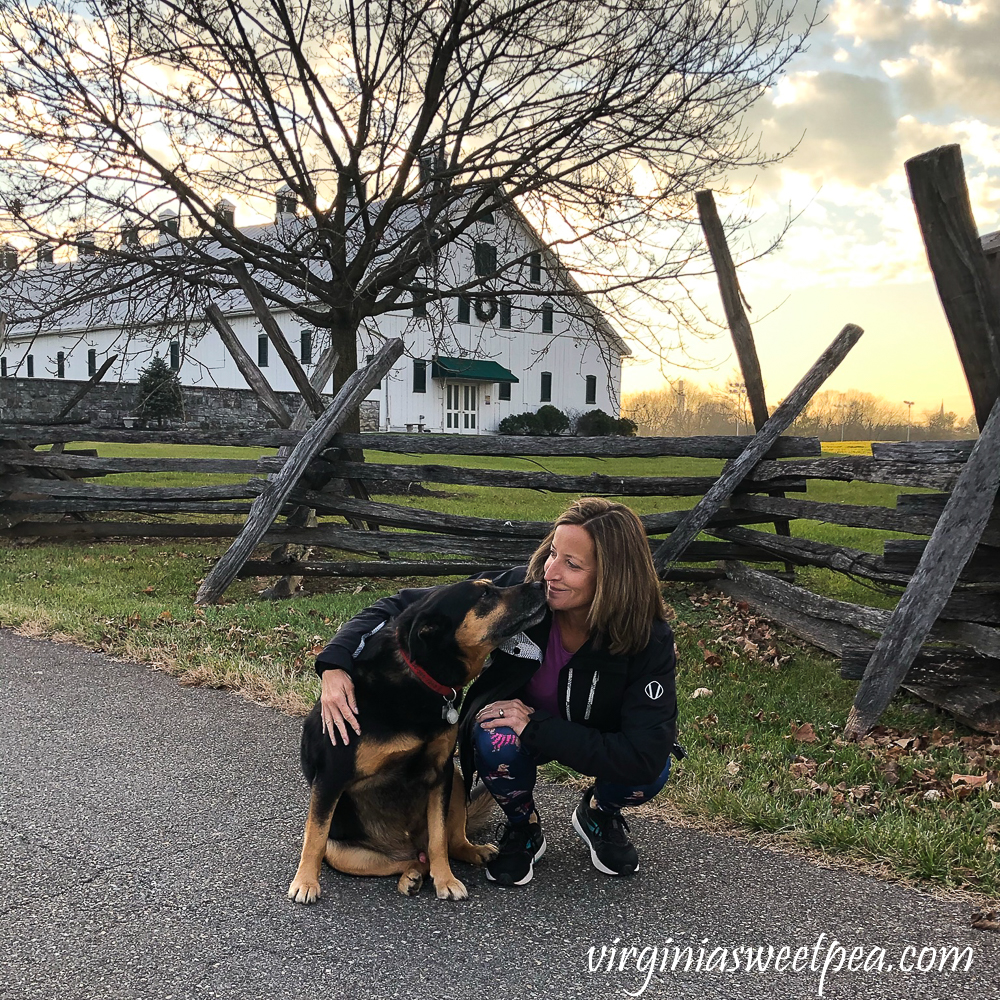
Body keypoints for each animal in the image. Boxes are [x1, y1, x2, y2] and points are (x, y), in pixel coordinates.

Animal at [286, 576, 548, 904]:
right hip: (345, 854)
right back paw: (410, 876)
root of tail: (408, 846)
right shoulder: (331, 777)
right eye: (485, 594)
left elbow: (439, 838)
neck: (422, 678)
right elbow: (315, 835)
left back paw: (466, 853)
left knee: (445, 844)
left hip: (457, 779)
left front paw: (446, 879)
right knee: (402, 859)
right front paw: (305, 882)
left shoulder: (440, 772)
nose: (541, 583)